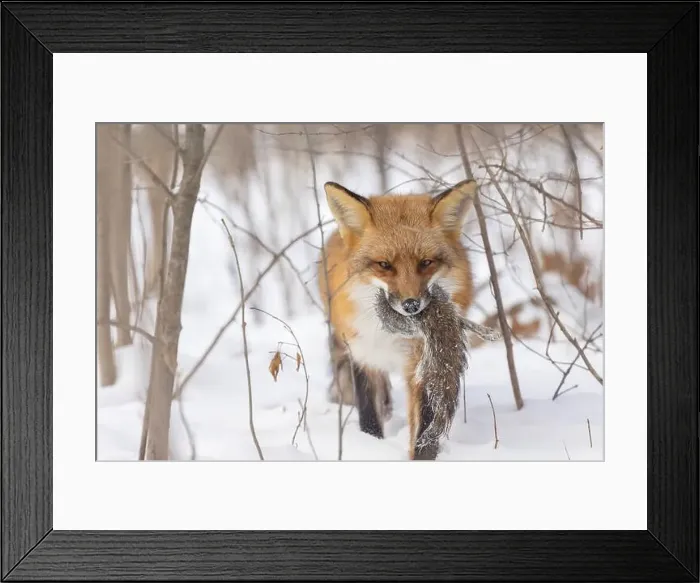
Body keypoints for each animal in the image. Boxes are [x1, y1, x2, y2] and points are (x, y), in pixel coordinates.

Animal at [317, 178, 478, 460]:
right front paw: (371, 446)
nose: (411, 305)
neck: (392, 335)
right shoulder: (363, 354)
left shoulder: (424, 362)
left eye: (426, 262)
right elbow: (369, 414)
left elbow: (424, 427)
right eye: (384, 265)